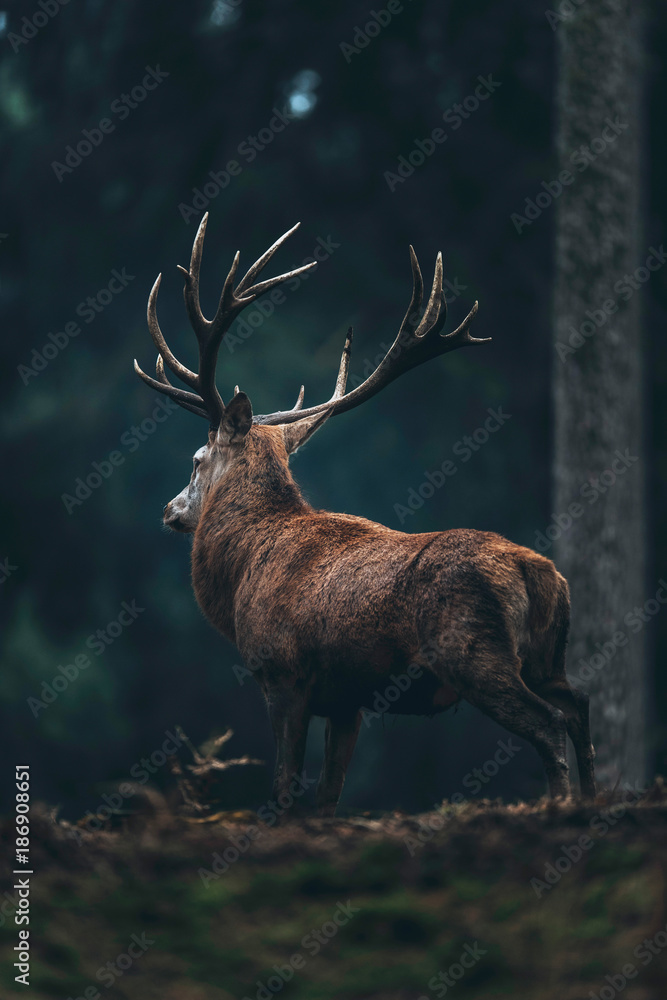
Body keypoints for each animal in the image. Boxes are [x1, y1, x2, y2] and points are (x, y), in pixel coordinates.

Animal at [133, 214, 596, 817]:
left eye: (195, 459)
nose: (170, 509)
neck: (243, 575)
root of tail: (538, 574)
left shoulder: (282, 672)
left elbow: (284, 787)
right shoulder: (346, 699)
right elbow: (328, 796)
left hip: (475, 653)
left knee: (550, 723)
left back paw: (562, 808)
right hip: (547, 656)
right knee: (580, 704)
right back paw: (596, 800)